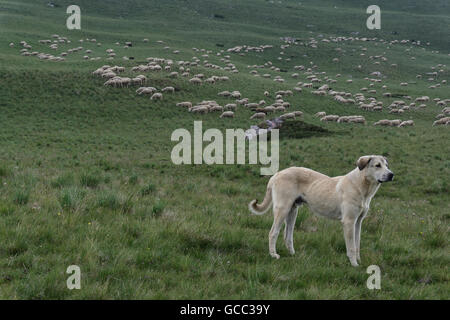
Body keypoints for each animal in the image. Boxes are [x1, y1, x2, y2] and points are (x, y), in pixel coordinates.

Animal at [250, 156, 394, 266]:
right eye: (377, 165)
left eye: (387, 165)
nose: (391, 174)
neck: (362, 186)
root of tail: (276, 174)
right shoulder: (349, 222)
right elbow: (351, 247)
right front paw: (354, 264)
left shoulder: (358, 222)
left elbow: (357, 244)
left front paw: (359, 261)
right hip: (282, 209)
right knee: (273, 233)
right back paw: (273, 255)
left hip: (293, 211)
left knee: (288, 236)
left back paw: (293, 254)